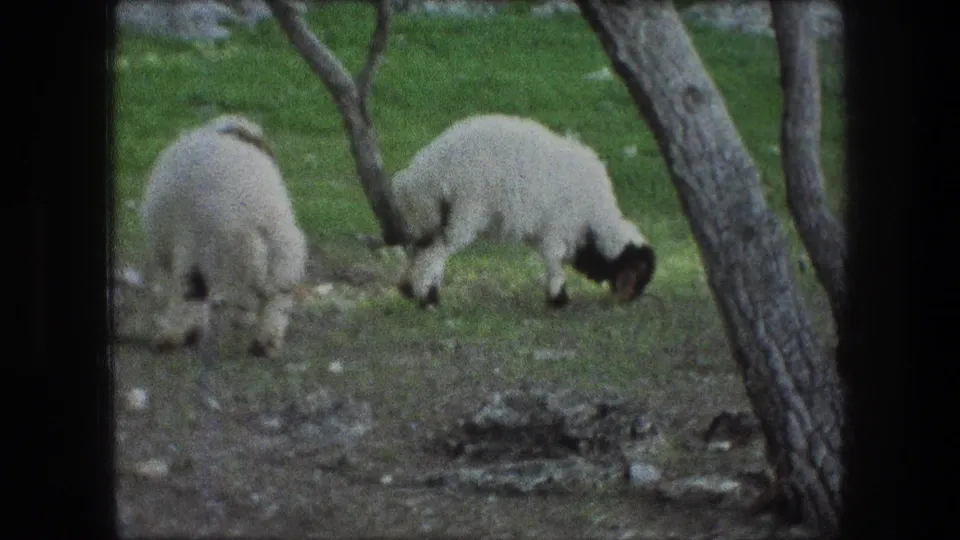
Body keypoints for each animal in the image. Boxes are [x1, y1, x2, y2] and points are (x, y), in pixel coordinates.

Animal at [140, 114, 306, 357]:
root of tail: (258, 218)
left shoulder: (188, 250)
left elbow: (189, 294)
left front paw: (181, 336)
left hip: (215, 254)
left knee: (192, 291)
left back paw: (172, 336)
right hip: (285, 255)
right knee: (277, 298)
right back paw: (265, 343)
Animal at [391, 113, 656, 309]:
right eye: (636, 274)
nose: (626, 302)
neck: (596, 221)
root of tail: (426, 173)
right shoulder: (557, 229)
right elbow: (555, 261)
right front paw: (558, 299)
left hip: (434, 214)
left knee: (422, 249)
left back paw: (414, 289)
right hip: (464, 211)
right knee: (435, 251)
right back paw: (425, 298)